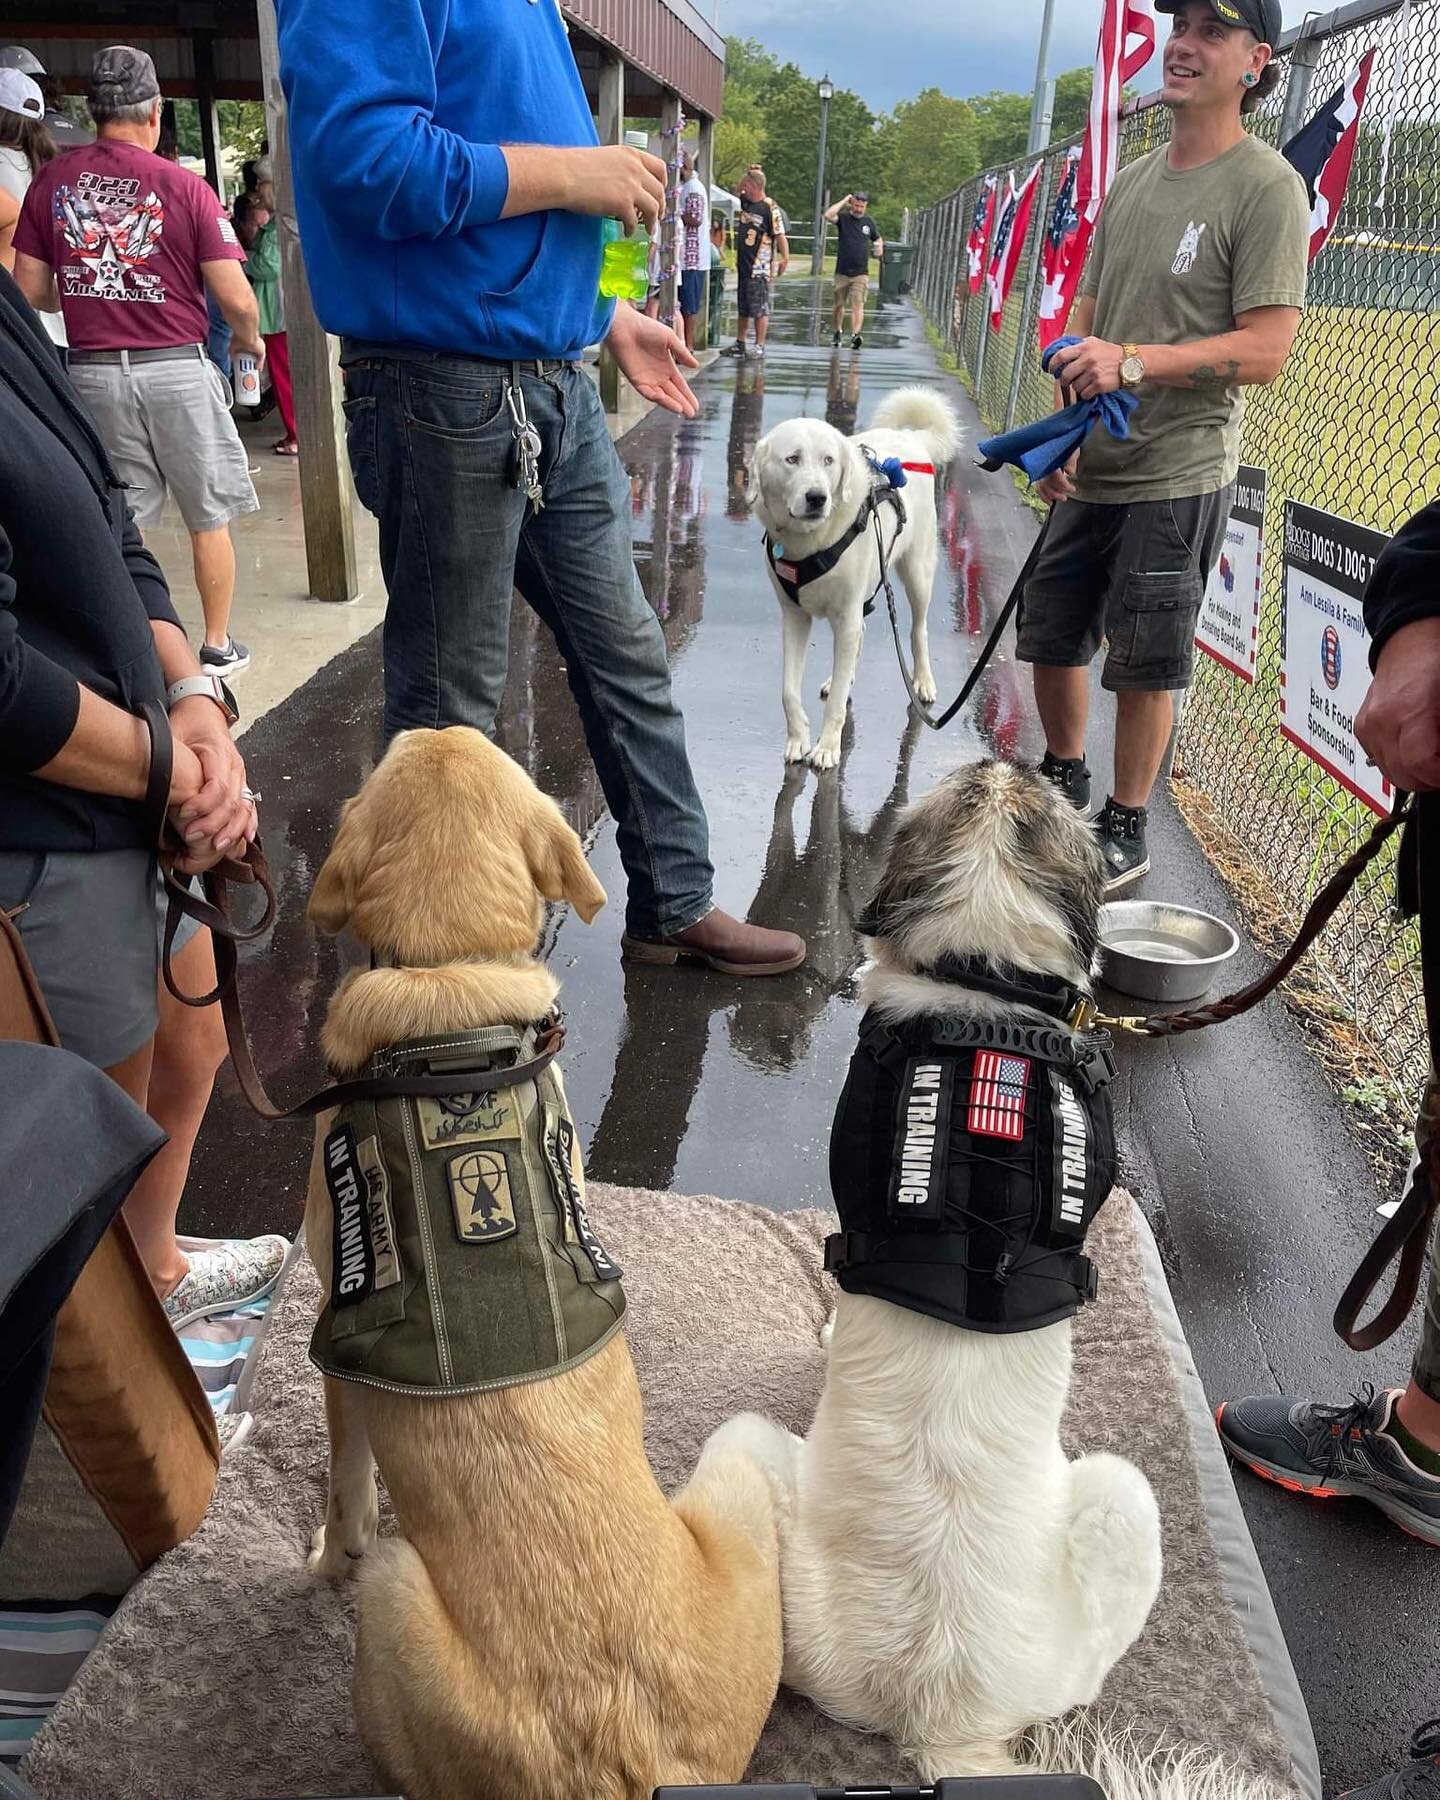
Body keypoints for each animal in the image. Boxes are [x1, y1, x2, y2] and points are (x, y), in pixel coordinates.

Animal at [298, 730, 781, 1800]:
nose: (435, 721)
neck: (449, 987)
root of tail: (630, 1756)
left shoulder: (334, 1343)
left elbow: (346, 1490)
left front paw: (318, 1558)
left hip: (401, 1588)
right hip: (733, 1493)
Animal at [748, 387, 964, 766]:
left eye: (828, 460)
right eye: (792, 459)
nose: (817, 498)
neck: (813, 540)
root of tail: (909, 438)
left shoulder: (845, 615)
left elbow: (835, 704)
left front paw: (827, 747)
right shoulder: (794, 616)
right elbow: (789, 690)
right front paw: (798, 739)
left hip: (917, 572)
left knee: (917, 629)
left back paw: (922, 680)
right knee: (860, 639)